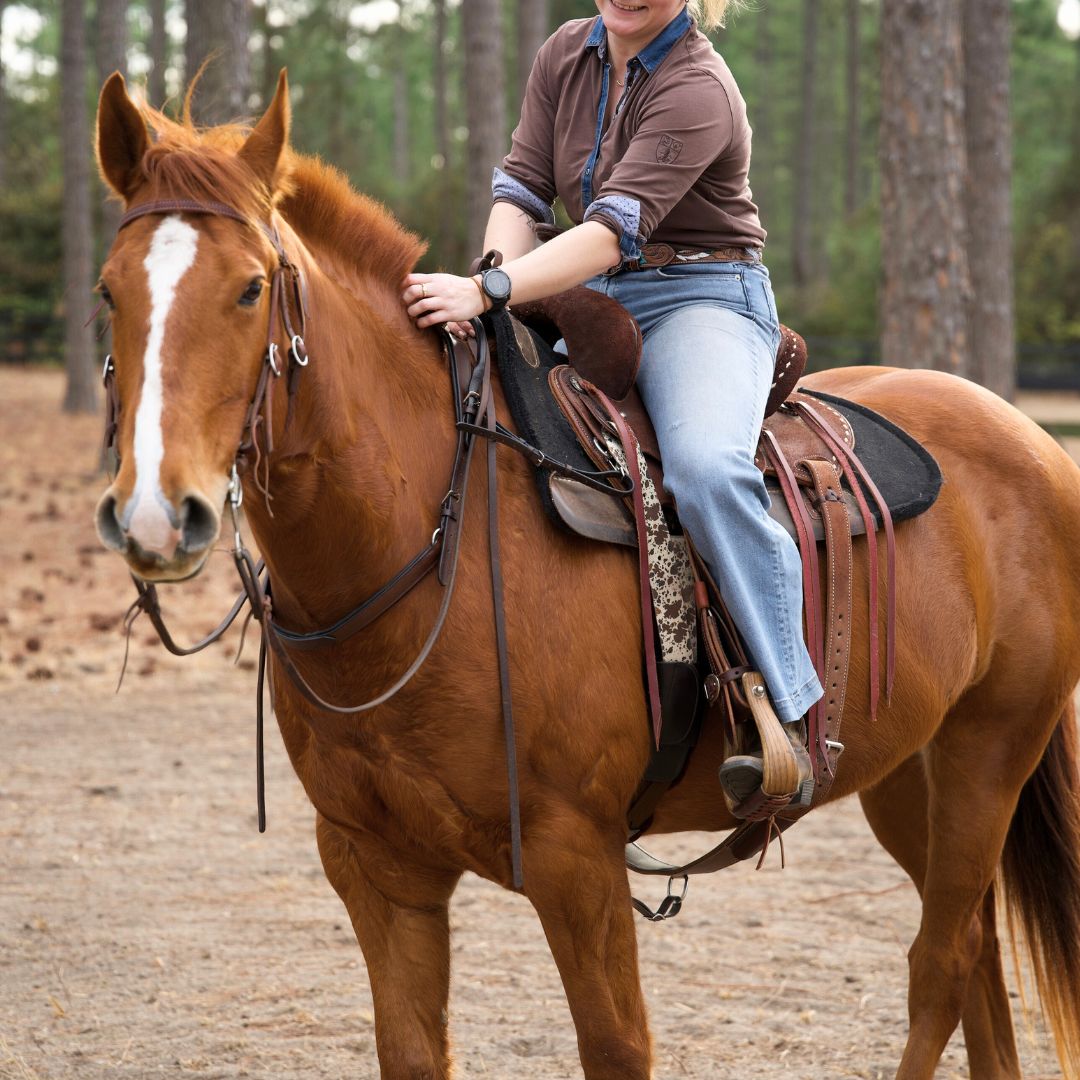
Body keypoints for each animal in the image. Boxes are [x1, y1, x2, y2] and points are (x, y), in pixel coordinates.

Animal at [92, 71, 1080, 1080]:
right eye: (107, 292)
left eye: (251, 288)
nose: (157, 514)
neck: (427, 554)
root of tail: (1033, 439)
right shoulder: (376, 869)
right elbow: (412, 1048)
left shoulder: (577, 859)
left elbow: (615, 1043)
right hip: (908, 769)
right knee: (976, 954)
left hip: (990, 750)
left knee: (941, 961)